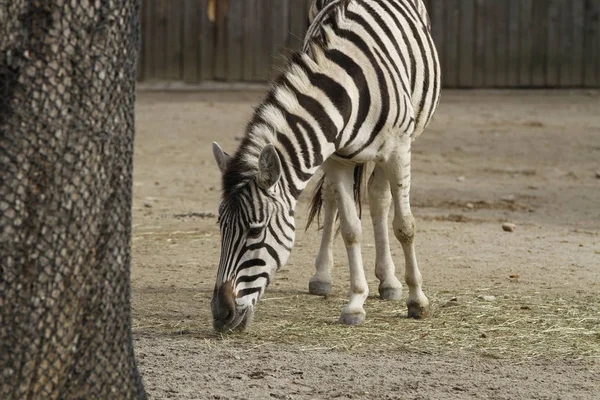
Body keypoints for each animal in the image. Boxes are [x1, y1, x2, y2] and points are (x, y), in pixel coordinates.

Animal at [211, 0, 440, 332]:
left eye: (255, 231)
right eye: (221, 227)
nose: (221, 315)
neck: (345, 89)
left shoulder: (399, 150)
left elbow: (405, 226)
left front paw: (417, 300)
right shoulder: (335, 157)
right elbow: (350, 229)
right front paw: (356, 303)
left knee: (380, 198)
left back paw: (390, 281)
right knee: (334, 199)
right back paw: (324, 277)